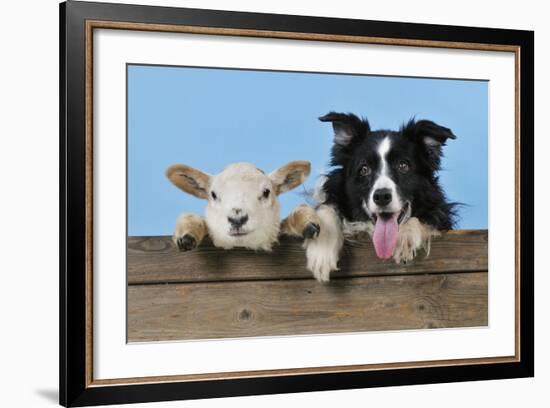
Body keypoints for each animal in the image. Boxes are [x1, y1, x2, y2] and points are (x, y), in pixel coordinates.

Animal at [166, 160, 322, 250]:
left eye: (266, 192)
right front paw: (187, 234)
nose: (237, 219)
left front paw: (307, 223)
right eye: (213, 195)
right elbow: (191, 218)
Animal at [308, 112, 460, 284]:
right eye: (364, 169)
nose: (381, 196)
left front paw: (405, 238)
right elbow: (328, 207)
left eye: (403, 166)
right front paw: (321, 255)